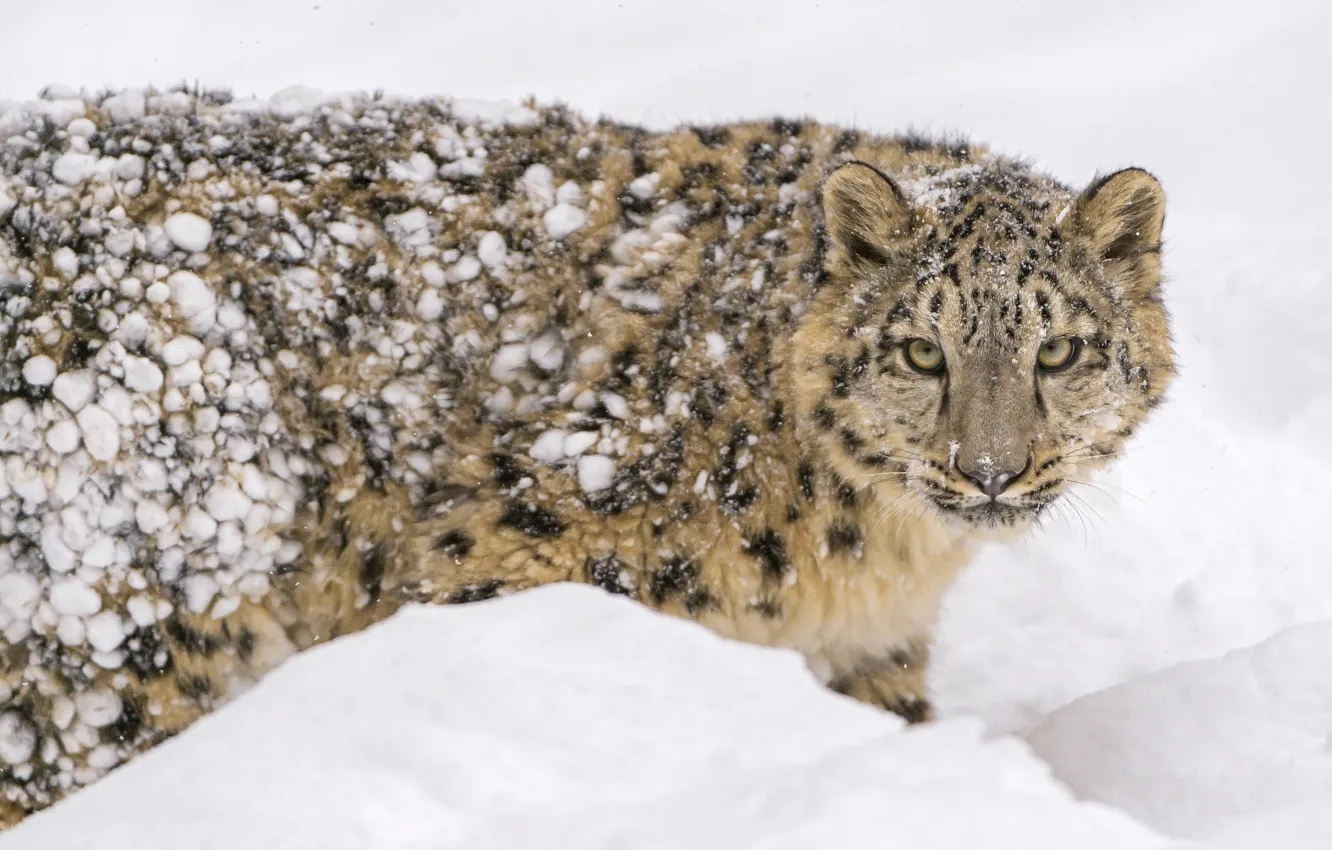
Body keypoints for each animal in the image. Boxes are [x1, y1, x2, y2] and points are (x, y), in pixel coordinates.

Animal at [0, 86, 1172, 826]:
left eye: (1059, 349)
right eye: (922, 349)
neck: (876, 555)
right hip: (124, 622)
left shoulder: (868, 657)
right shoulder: (511, 554)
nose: (990, 470)